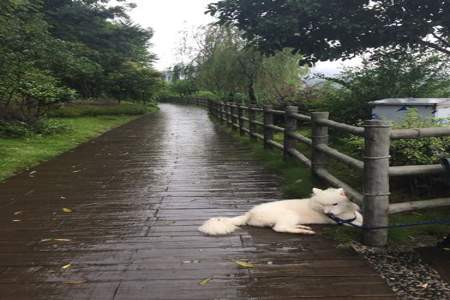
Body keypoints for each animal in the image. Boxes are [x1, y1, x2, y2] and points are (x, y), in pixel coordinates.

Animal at [199, 188, 364, 234]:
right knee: (280, 228)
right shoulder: (343, 222)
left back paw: (302, 227)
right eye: (322, 205)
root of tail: (249, 213)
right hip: (289, 215)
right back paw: (302, 231)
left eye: (334, 204)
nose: (328, 213)